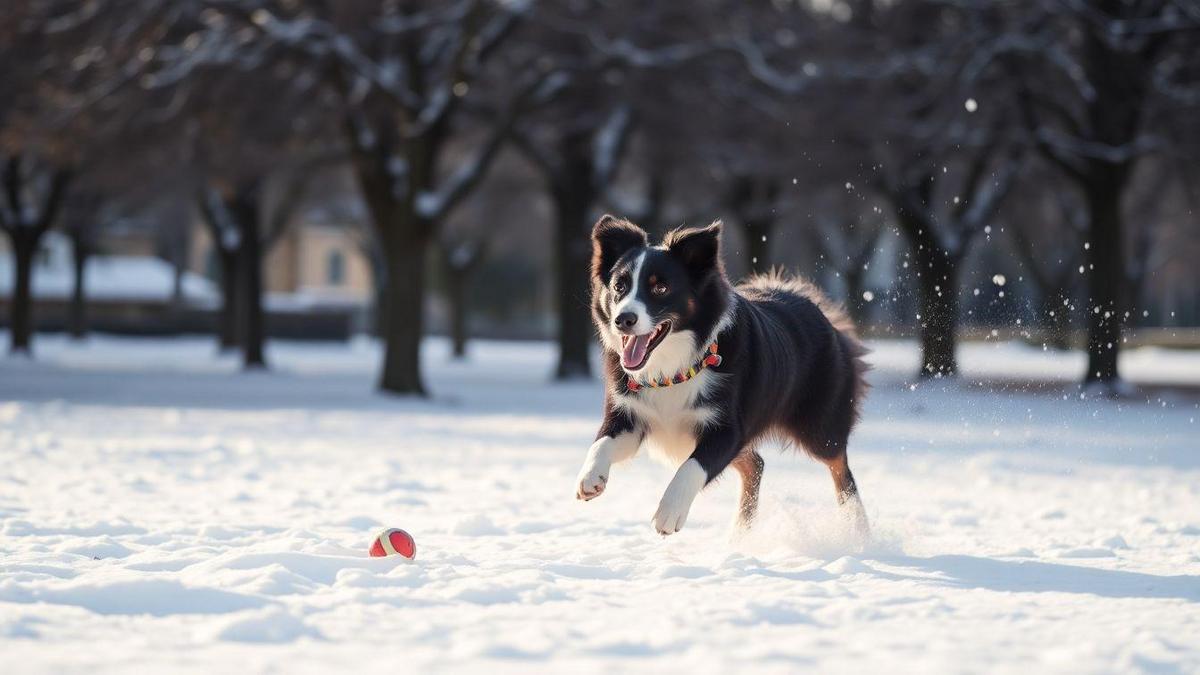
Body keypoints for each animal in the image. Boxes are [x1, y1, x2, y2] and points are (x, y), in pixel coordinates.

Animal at [573, 214, 868, 535]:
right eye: (619, 286)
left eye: (660, 288)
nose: (623, 319)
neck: (673, 368)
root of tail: (818, 309)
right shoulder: (629, 414)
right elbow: (602, 442)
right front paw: (590, 477)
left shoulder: (727, 429)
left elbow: (691, 467)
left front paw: (669, 512)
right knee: (756, 465)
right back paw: (741, 530)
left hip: (819, 427)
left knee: (840, 467)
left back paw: (856, 525)